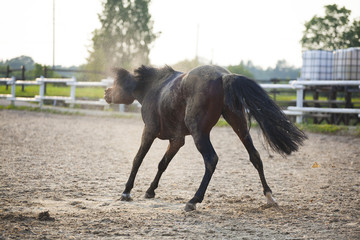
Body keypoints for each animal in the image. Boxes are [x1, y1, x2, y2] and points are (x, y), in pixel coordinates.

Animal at [105, 64, 306, 211]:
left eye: (116, 82)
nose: (106, 92)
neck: (154, 87)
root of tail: (223, 76)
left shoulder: (149, 131)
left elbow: (138, 159)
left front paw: (126, 192)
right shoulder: (177, 140)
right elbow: (163, 163)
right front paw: (150, 191)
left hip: (200, 133)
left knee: (211, 159)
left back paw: (193, 200)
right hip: (239, 125)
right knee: (255, 156)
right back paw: (269, 196)